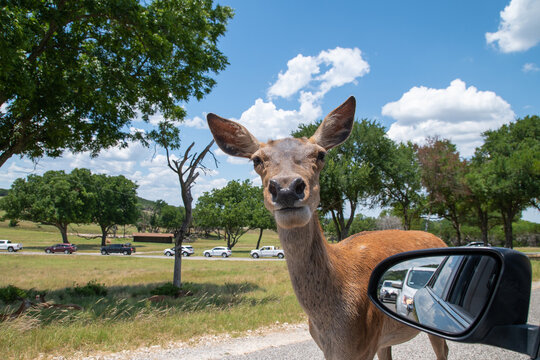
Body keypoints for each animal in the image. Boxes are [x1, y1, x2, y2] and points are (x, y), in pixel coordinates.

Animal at [206, 96, 448, 360]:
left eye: (320, 154)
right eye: (256, 159)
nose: (286, 188)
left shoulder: (363, 344)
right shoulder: (333, 347)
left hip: (431, 327)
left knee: (443, 350)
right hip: (385, 339)